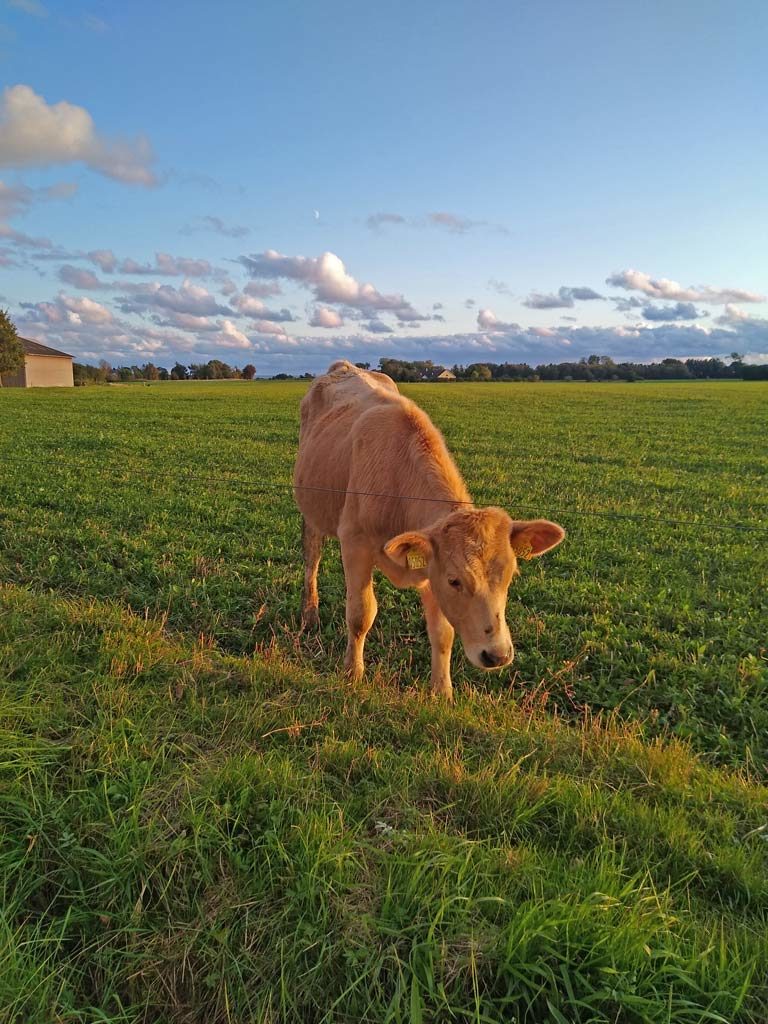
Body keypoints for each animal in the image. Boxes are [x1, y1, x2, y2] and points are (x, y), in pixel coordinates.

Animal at [294, 358, 565, 696]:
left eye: (509, 577)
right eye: (455, 581)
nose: (497, 655)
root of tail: (343, 366)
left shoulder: (430, 567)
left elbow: (443, 633)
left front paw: (442, 692)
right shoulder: (354, 544)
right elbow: (360, 614)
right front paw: (352, 674)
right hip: (312, 512)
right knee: (312, 559)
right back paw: (309, 614)